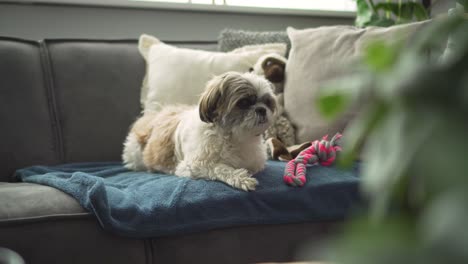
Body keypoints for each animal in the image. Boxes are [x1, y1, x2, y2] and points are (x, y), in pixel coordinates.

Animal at [121, 72, 278, 191]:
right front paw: (241, 178)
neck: (235, 137)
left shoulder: (256, 163)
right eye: (244, 102)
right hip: (135, 153)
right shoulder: (193, 165)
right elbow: (220, 168)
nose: (262, 109)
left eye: (267, 102)